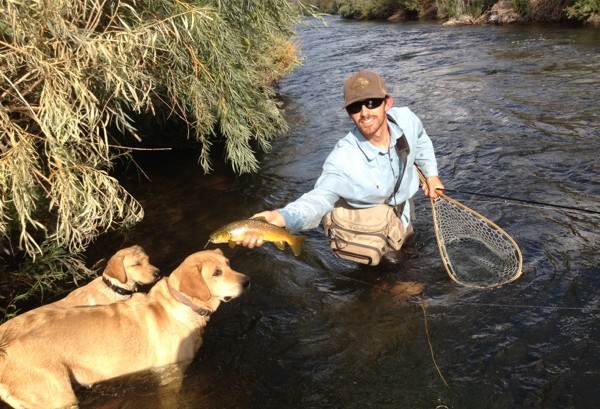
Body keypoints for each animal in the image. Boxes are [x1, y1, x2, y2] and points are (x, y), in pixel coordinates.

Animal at [0, 247, 250, 406]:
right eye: (216, 273)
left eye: (229, 265)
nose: (247, 281)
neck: (181, 305)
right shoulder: (170, 374)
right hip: (57, 398)